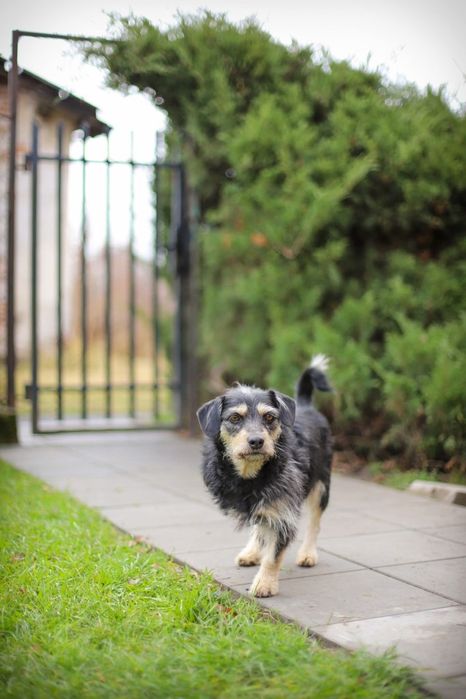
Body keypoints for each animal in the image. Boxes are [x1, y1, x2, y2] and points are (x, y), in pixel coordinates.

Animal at [197, 355, 332, 598]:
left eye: (269, 417)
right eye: (234, 417)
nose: (256, 441)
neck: (250, 474)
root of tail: (305, 405)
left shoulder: (283, 512)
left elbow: (273, 555)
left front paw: (265, 584)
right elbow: (261, 531)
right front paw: (257, 556)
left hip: (321, 486)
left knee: (314, 523)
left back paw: (308, 553)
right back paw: (251, 551)